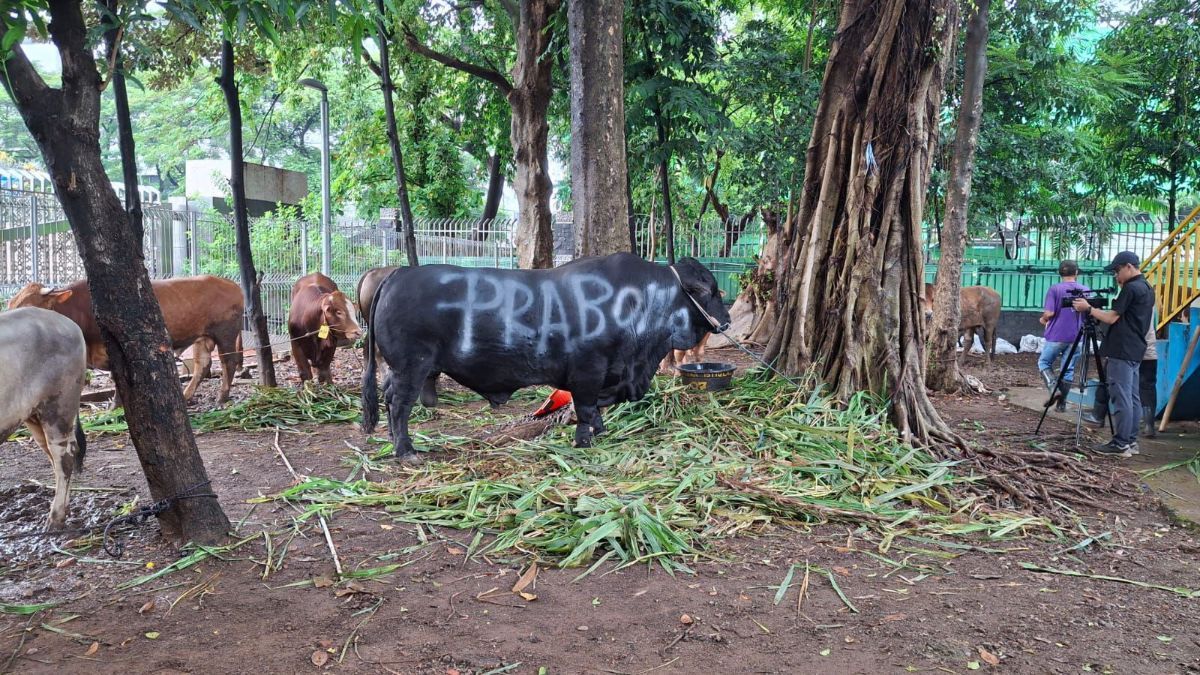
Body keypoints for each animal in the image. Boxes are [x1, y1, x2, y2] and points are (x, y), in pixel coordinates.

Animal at [360, 249, 724, 458]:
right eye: (711, 290)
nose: (728, 320)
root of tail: (398, 274)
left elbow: (593, 410)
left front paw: (598, 431)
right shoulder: (588, 372)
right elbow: (586, 408)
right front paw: (585, 440)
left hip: (402, 368)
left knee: (389, 396)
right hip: (412, 367)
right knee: (399, 404)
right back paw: (405, 450)